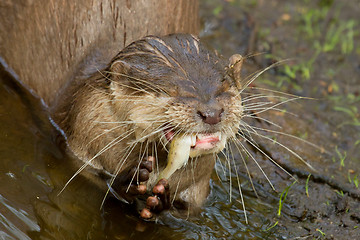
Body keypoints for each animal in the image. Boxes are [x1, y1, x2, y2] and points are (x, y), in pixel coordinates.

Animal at [52, 32, 245, 218]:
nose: (212, 113)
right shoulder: (81, 142)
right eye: (169, 91)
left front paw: (161, 200)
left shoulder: (199, 188)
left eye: (225, 86)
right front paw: (131, 181)